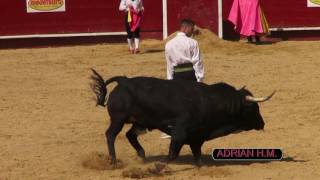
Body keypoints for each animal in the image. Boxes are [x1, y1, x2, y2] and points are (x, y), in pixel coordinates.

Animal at [90, 69, 276, 166]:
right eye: (254, 108)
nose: (263, 123)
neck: (211, 102)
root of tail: (123, 81)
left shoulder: (197, 137)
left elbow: (198, 157)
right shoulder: (180, 132)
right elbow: (172, 154)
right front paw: (157, 168)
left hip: (140, 122)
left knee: (130, 135)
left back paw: (142, 156)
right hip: (118, 119)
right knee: (111, 135)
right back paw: (113, 160)